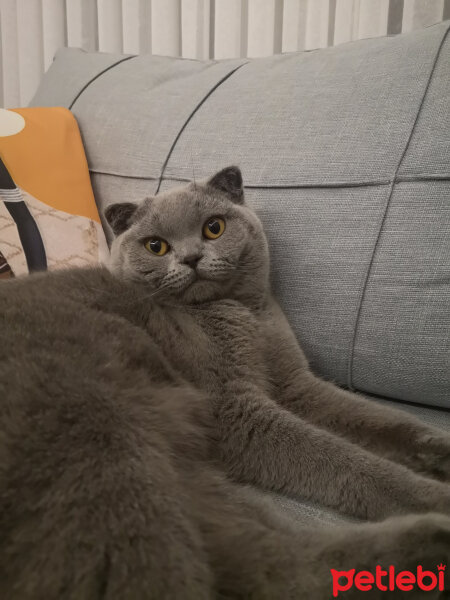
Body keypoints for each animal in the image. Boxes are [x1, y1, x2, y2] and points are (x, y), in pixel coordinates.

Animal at [0, 165, 448, 600]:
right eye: (156, 246)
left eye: (213, 228)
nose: (192, 258)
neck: (245, 315)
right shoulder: (232, 411)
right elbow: (344, 460)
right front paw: (431, 495)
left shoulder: (297, 385)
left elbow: (380, 419)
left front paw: (439, 450)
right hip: (102, 442)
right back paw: (433, 535)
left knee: (250, 551)